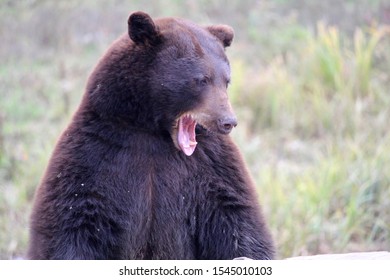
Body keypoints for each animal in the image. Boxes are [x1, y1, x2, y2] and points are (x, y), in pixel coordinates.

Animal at [26, 10, 274, 260]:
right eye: (201, 79)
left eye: (226, 80)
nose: (228, 121)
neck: (153, 132)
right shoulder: (95, 153)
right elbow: (72, 218)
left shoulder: (211, 162)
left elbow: (235, 214)